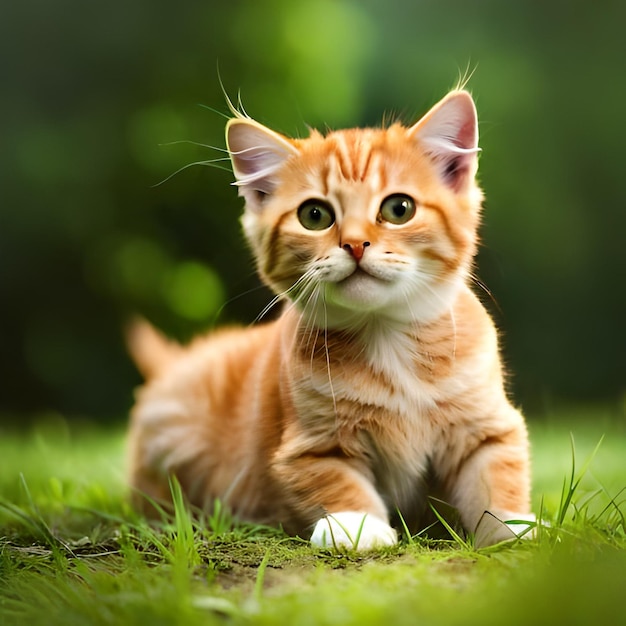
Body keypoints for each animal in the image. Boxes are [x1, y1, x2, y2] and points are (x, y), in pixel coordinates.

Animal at [127, 90, 532, 548]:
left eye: (399, 209)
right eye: (314, 216)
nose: (355, 244)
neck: (387, 336)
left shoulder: (487, 423)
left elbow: (496, 472)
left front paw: (514, 526)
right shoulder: (307, 445)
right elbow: (331, 478)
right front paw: (357, 524)